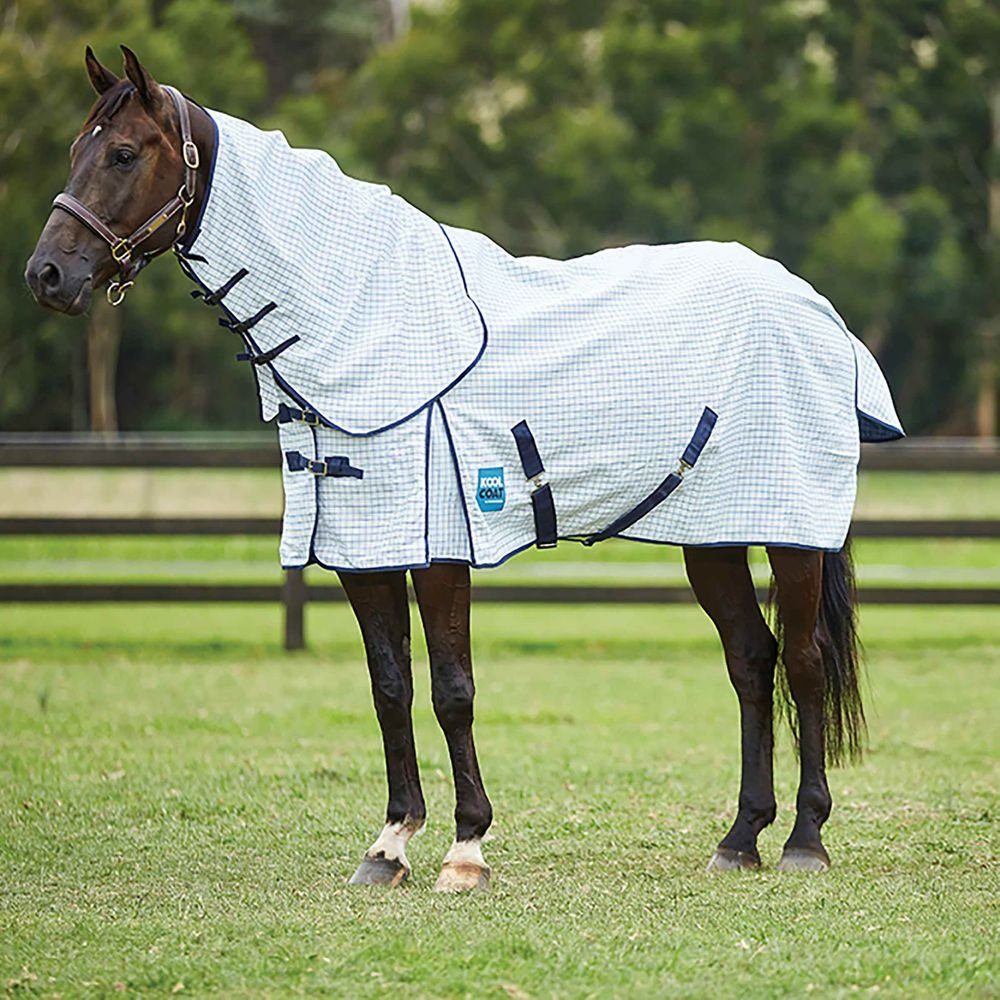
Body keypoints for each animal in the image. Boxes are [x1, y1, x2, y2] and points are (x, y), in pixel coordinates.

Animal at [26, 46, 902, 891]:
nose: (47, 276)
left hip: (791, 536)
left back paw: (804, 841)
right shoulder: (363, 550)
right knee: (752, 663)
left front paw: (466, 848)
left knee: (804, 664)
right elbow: (390, 687)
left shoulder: (439, 548)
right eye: (73, 150)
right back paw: (739, 839)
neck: (364, 322)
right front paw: (388, 845)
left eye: (125, 153)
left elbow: (453, 689)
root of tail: (816, 311)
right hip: (712, 538)